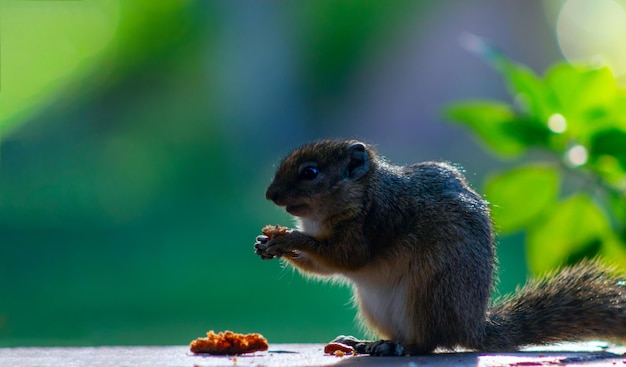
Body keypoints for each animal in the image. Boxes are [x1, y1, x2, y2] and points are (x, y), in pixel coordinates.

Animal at [252, 140, 624, 356]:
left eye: (310, 172)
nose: (270, 195)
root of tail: (472, 327)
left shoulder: (375, 221)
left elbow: (343, 258)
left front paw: (288, 239)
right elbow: (320, 266)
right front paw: (267, 243)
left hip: (429, 294)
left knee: (429, 343)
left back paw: (397, 348)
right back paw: (370, 343)